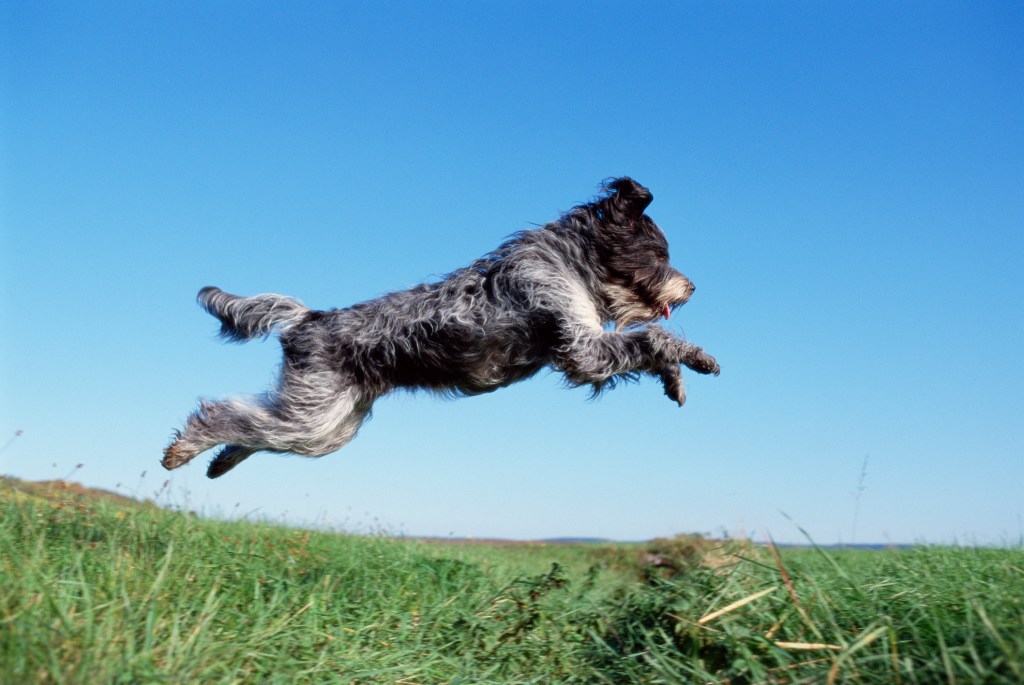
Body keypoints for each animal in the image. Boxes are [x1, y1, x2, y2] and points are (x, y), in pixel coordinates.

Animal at [161, 179, 720, 479]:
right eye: (660, 254)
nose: (693, 286)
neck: (569, 262)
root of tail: (308, 318)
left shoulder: (593, 348)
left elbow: (650, 349)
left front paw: (676, 379)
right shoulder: (581, 349)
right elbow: (653, 339)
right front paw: (696, 359)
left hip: (328, 426)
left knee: (251, 425)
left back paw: (218, 463)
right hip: (316, 417)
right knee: (223, 413)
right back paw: (183, 449)